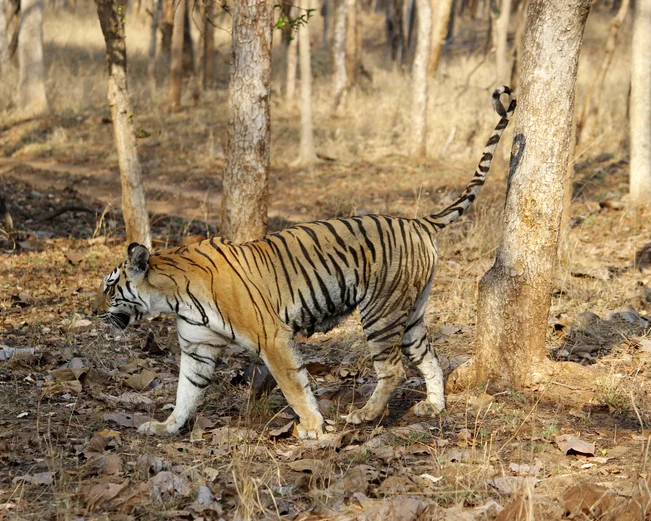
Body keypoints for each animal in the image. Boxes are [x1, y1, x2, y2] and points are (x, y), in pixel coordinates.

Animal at [96, 86, 516, 439]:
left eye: (109, 285)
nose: (99, 312)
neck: (173, 298)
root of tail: (417, 221)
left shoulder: (272, 336)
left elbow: (294, 385)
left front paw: (313, 427)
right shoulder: (198, 348)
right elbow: (186, 392)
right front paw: (166, 426)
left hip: (381, 311)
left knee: (392, 367)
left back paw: (363, 416)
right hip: (410, 312)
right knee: (429, 357)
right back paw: (433, 406)